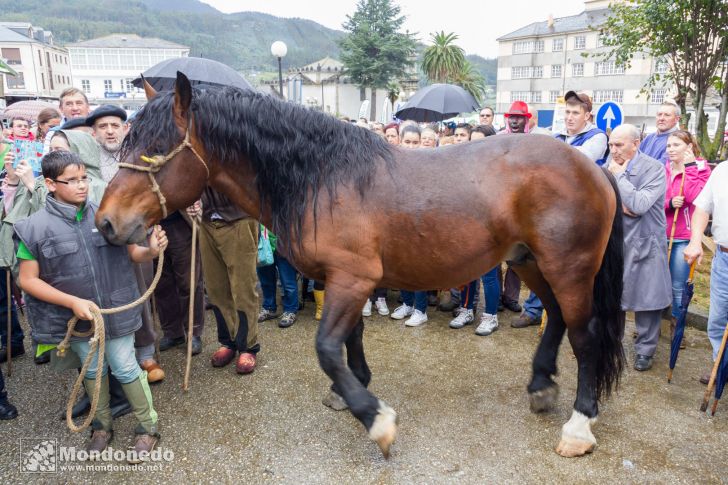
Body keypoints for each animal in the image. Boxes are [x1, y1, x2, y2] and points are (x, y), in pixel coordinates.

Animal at [94, 73, 624, 458]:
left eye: (155, 150)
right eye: (127, 141)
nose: (106, 223)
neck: (324, 177)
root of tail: (590, 166)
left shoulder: (352, 279)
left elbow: (328, 347)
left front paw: (374, 417)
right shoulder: (347, 280)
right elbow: (352, 338)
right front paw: (353, 390)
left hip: (569, 268)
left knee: (584, 334)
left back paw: (580, 424)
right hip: (531, 262)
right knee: (556, 318)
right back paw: (541, 384)